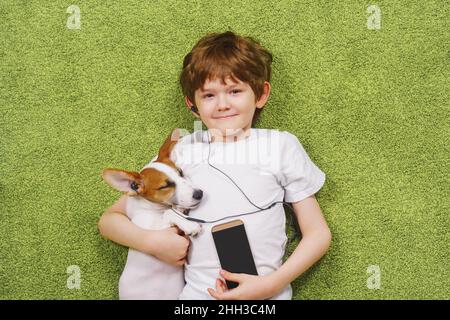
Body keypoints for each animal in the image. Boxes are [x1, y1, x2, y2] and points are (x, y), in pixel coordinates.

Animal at [103, 129, 203, 298]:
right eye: (165, 186)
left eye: (181, 172)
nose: (199, 194)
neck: (151, 208)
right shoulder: (153, 228)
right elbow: (169, 213)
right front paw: (189, 225)